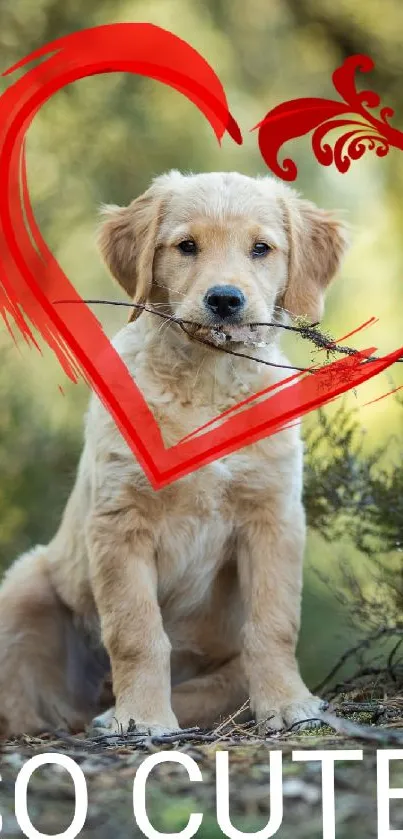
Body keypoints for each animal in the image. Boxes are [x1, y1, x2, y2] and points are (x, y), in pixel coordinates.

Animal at [0, 174, 348, 740]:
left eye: (261, 248)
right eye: (186, 246)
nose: (225, 300)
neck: (207, 380)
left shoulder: (272, 517)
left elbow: (274, 623)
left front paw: (288, 704)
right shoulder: (120, 521)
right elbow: (136, 631)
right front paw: (141, 718)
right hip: (25, 585)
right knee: (29, 703)